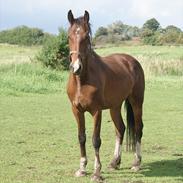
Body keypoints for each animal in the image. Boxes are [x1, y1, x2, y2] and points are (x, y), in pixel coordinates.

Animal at [66, 10, 145, 182]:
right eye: (69, 36)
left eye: (86, 37)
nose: (76, 67)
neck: (82, 81)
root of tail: (131, 61)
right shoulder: (76, 110)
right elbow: (81, 137)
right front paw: (82, 169)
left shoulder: (96, 111)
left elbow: (96, 140)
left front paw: (96, 172)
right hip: (115, 107)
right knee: (120, 129)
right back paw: (115, 162)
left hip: (136, 102)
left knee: (138, 129)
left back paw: (136, 163)